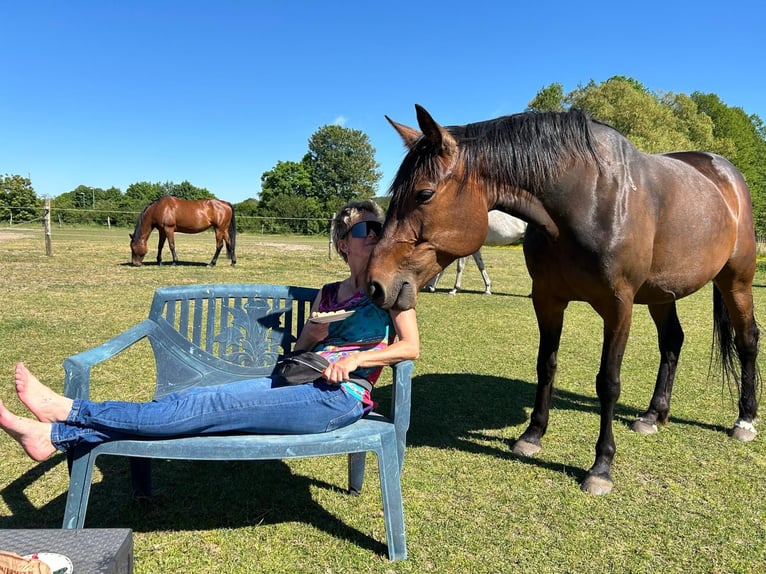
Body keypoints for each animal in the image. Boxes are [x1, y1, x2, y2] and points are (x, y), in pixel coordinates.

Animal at [367, 105, 760, 495]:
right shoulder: (547, 300)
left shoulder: (618, 307)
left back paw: (745, 420)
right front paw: (532, 435)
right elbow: (546, 365)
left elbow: (608, 383)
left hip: (736, 281)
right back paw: (653, 415)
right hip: (662, 294)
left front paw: (601, 466)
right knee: (672, 342)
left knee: (747, 340)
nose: (376, 284)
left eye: (424, 194)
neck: (589, 199)